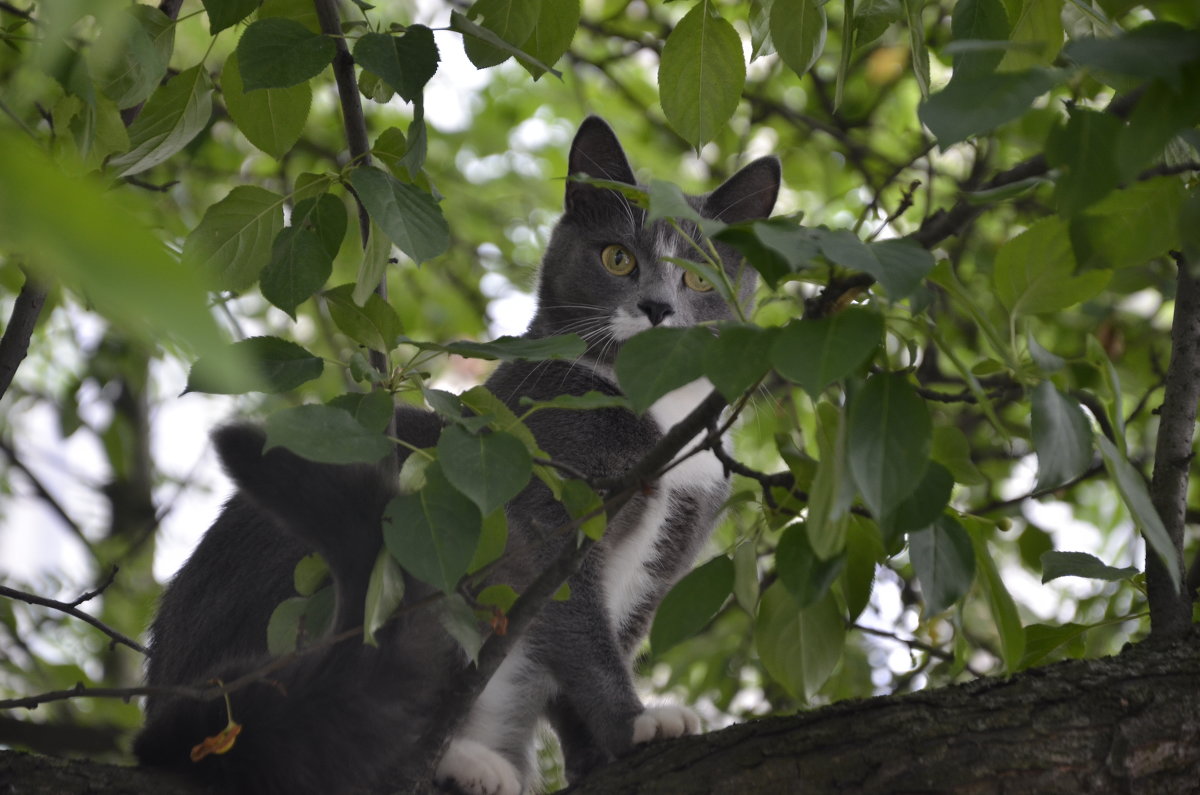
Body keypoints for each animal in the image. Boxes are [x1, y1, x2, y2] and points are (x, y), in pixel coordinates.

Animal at [136, 118, 782, 795]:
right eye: (617, 257)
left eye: (699, 278)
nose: (657, 307)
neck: (659, 415)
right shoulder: (543, 508)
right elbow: (581, 635)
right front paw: (634, 724)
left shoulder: (674, 538)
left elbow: (598, 645)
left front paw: (598, 756)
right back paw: (463, 762)